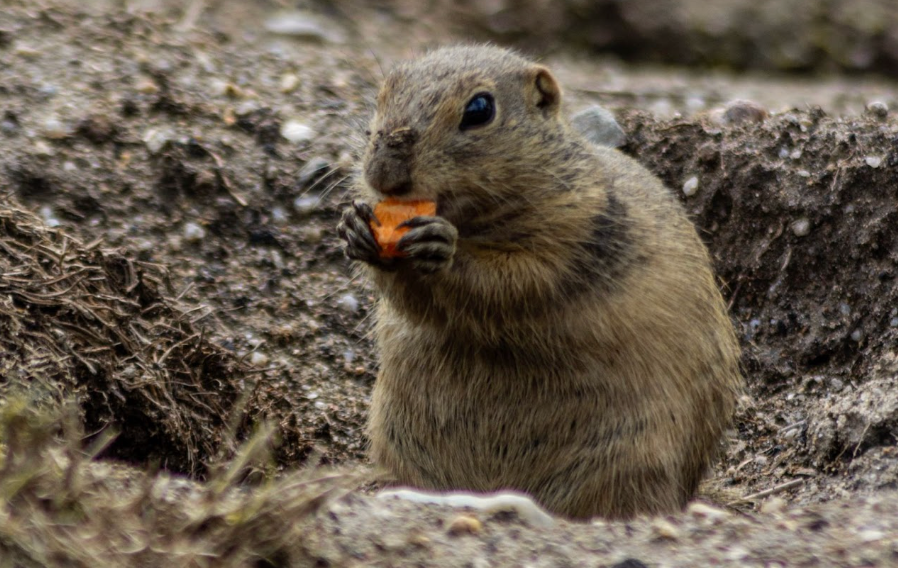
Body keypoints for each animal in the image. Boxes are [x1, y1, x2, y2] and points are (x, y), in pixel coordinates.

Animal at [336, 46, 744, 520]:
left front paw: (443, 247)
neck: (471, 219)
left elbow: (517, 280)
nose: (383, 173)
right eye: (383, 93)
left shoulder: (572, 229)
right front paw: (355, 228)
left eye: (479, 109)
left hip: (632, 457)